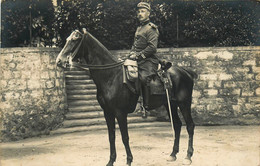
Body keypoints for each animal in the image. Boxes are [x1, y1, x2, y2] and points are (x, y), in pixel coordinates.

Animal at [55, 29, 197, 165]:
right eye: (67, 39)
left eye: (75, 40)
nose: (59, 61)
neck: (111, 76)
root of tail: (186, 71)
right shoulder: (107, 112)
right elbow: (111, 136)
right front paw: (111, 161)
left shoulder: (120, 112)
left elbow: (125, 137)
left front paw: (129, 160)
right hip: (170, 104)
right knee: (177, 125)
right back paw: (173, 154)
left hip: (184, 103)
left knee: (190, 125)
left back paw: (188, 156)